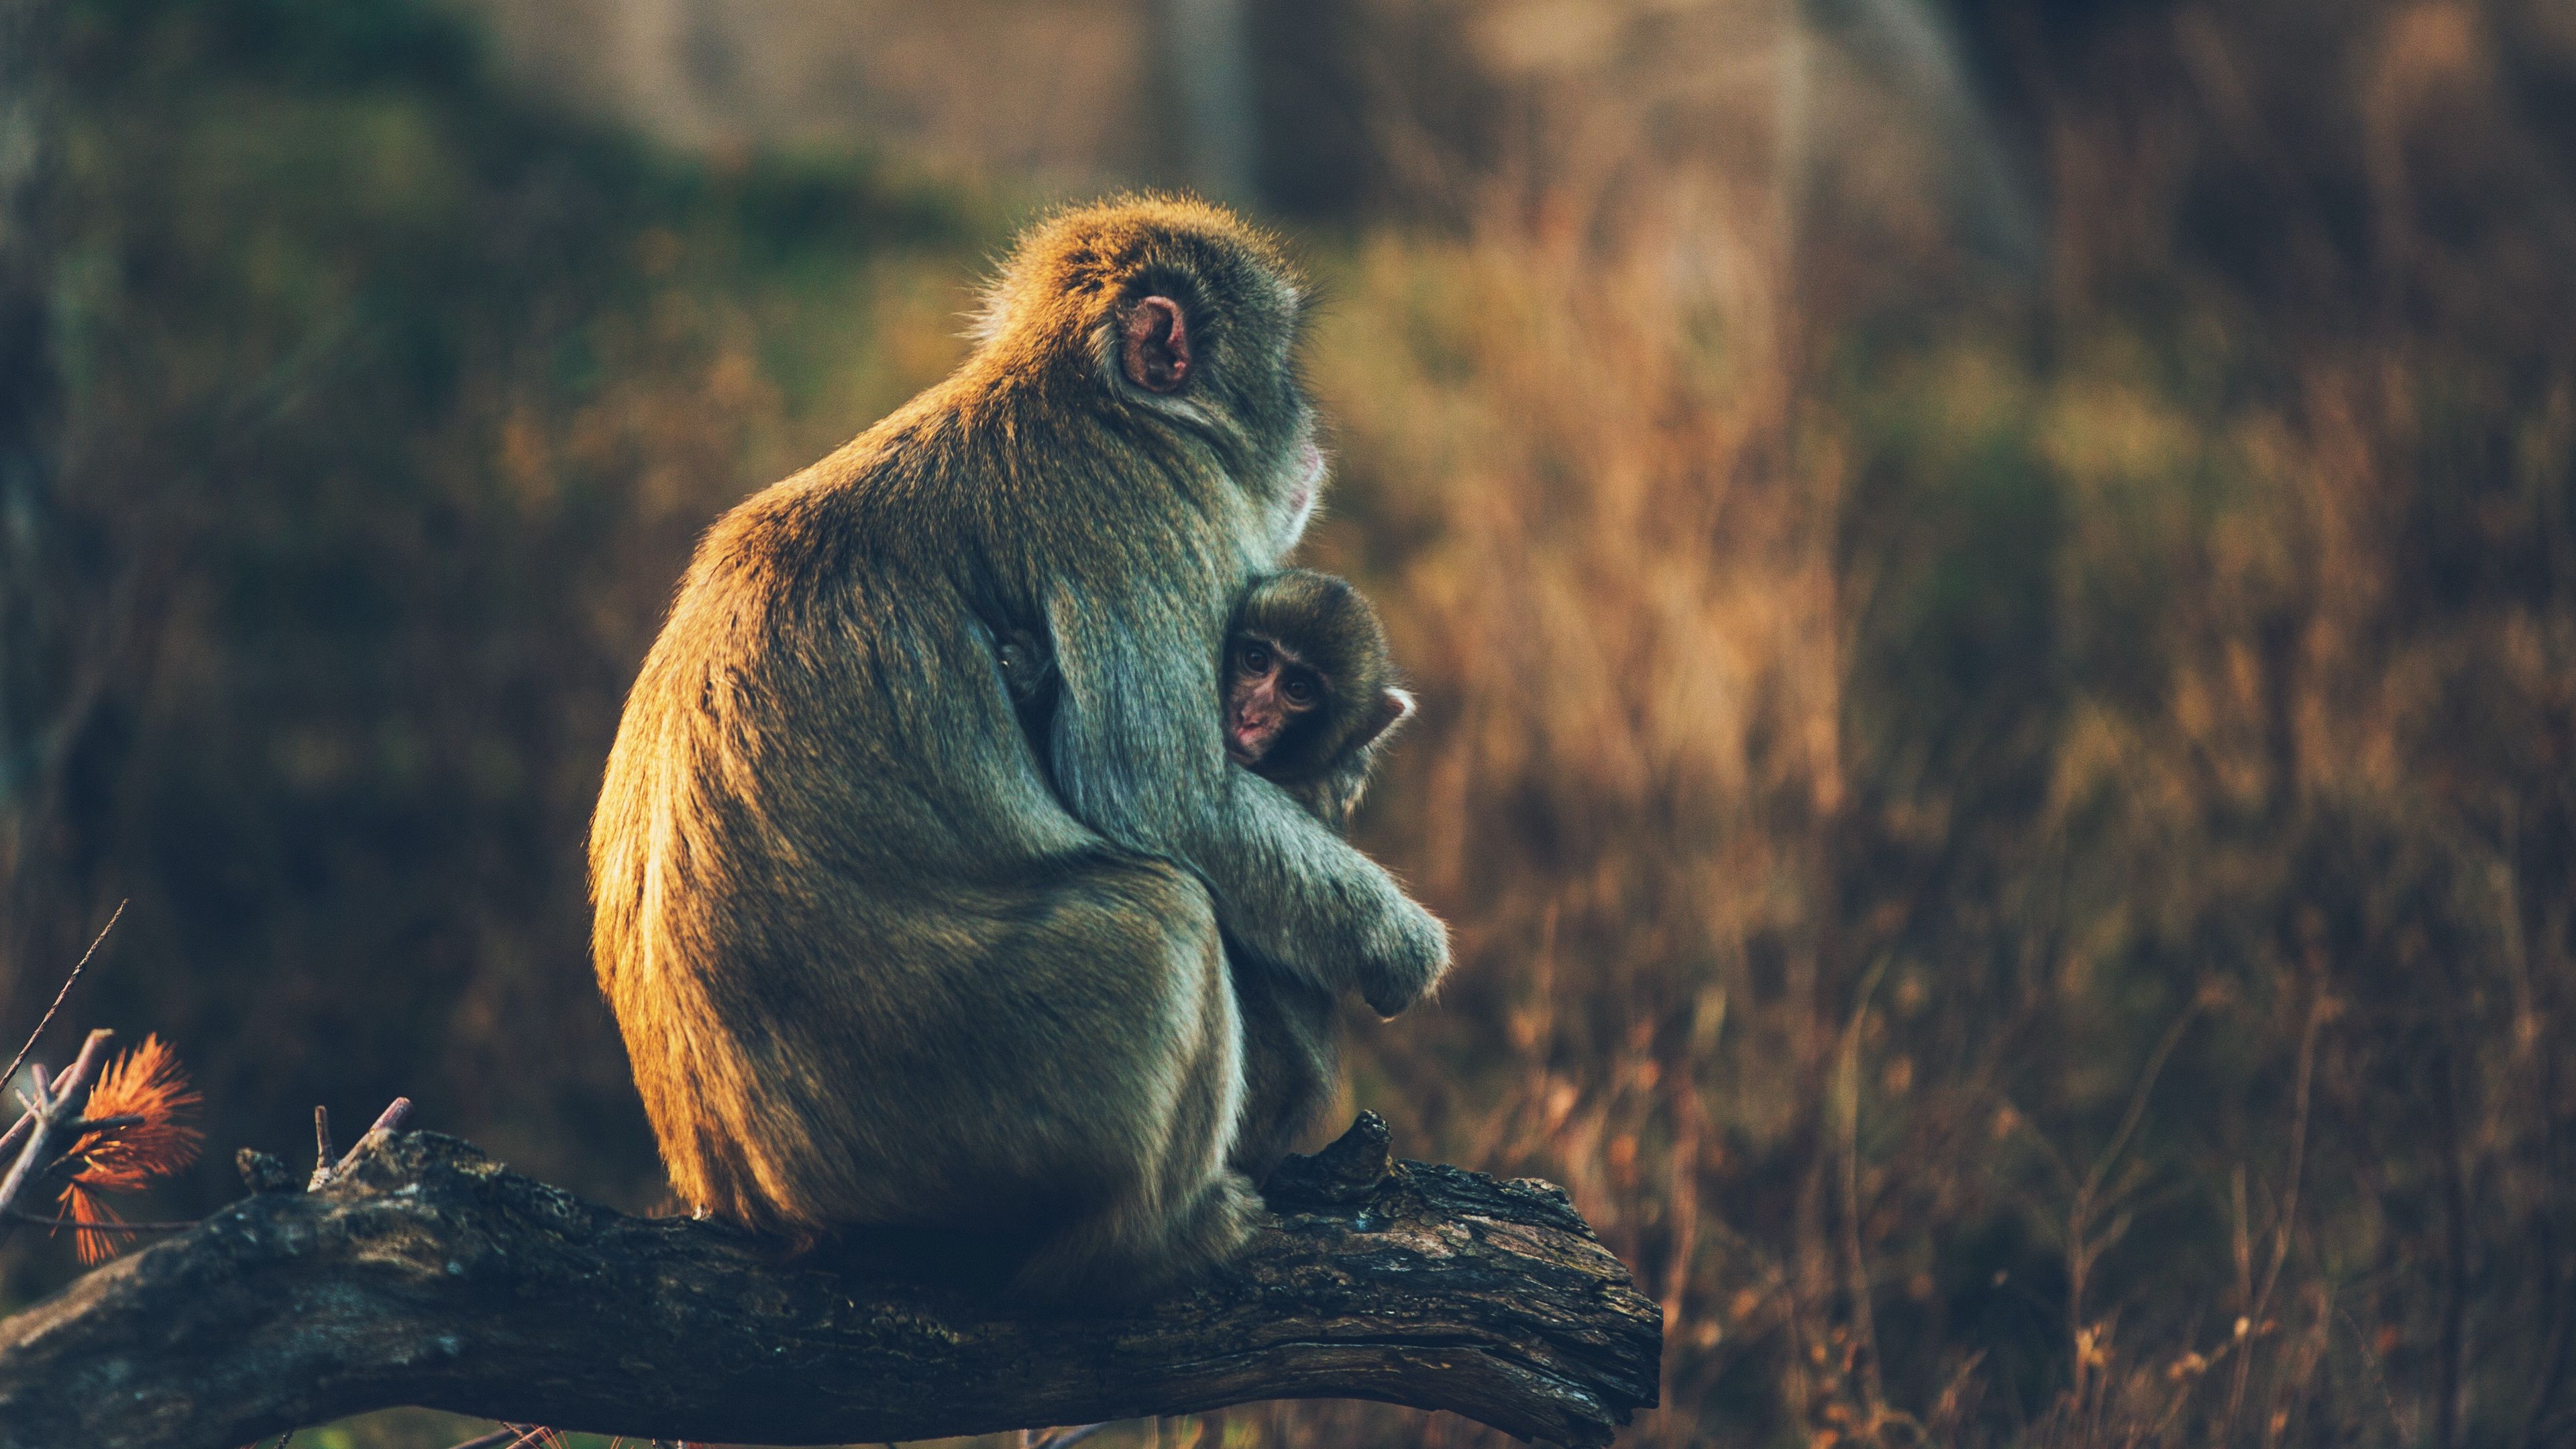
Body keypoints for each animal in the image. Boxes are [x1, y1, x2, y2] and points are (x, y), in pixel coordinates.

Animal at [587, 197, 1450, 1303]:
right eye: (1284, 365)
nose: (1312, 438)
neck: (1092, 399)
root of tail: (756, 1199)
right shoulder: (1140, 516)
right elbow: (1164, 799)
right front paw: (1402, 949)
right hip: (979, 1118)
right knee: (1165, 914)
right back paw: (1148, 1242)